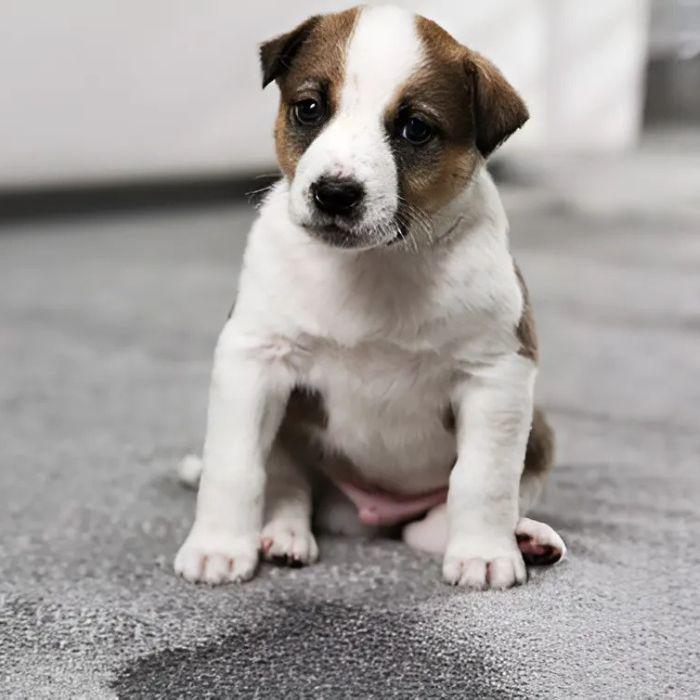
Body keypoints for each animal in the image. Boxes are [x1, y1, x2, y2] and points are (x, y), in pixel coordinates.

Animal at [175, 5, 568, 592]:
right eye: (310, 108)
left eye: (415, 129)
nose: (335, 193)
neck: (375, 264)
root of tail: (368, 513)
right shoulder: (254, 358)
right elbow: (235, 466)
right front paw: (219, 547)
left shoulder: (497, 374)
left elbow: (483, 480)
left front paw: (484, 553)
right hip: (290, 424)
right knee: (289, 485)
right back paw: (284, 535)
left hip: (537, 429)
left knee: (443, 518)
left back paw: (526, 537)